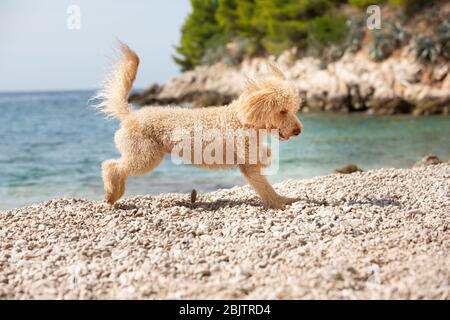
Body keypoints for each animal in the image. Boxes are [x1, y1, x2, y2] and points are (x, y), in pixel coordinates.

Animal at [96, 43, 304, 209]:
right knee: (111, 166)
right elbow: (266, 188)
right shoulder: (249, 165)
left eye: (294, 109)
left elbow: (266, 159)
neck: (242, 119)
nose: (298, 131)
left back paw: (115, 193)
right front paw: (280, 202)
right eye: (282, 111)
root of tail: (130, 114)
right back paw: (111, 193)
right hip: (145, 156)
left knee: (117, 167)